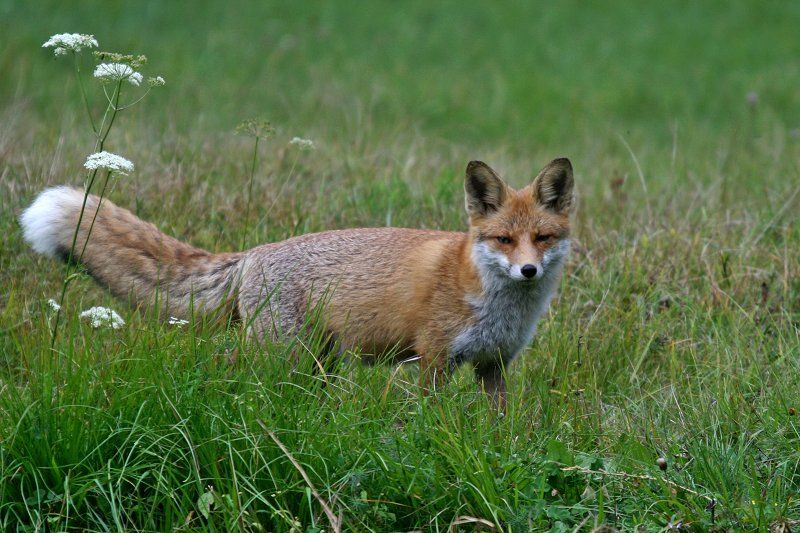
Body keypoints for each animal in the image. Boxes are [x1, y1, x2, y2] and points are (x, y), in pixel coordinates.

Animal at [20, 158, 574, 405]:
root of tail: (253, 254)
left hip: (314, 363)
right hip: (279, 353)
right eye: (504, 239)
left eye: (542, 238)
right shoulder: (435, 359)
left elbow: (496, 430)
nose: (528, 270)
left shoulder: (494, 364)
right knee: (221, 363)